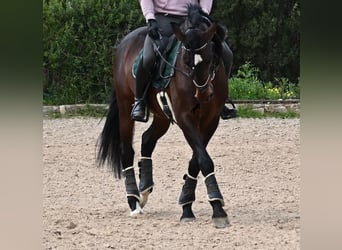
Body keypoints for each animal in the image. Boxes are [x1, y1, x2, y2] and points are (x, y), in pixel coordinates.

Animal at [97, 4, 231, 229]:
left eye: (210, 57)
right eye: (186, 60)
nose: (203, 94)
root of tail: (124, 43)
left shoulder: (211, 120)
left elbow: (197, 160)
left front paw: (187, 205)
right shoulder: (185, 118)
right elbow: (204, 159)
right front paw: (218, 209)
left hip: (162, 116)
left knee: (147, 140)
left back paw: (144, 188)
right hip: (125, 107)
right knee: (127, 151)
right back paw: (134, 201)